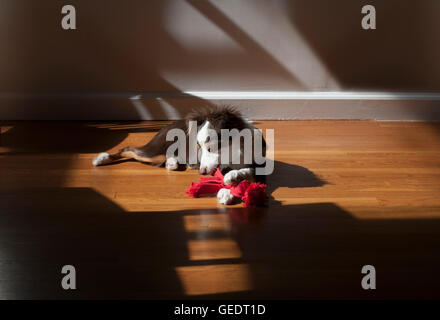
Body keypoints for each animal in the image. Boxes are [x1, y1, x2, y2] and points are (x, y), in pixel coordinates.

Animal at [91, 105, 266, 205]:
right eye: (199, 147)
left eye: (211, 147)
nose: (201, 172)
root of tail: (169, 124)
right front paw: (227, 188)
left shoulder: (259, 167)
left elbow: (247, 173)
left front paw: (231, 182)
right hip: (155, 152)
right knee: (129, 149)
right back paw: (102, 159)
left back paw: (173, 163)